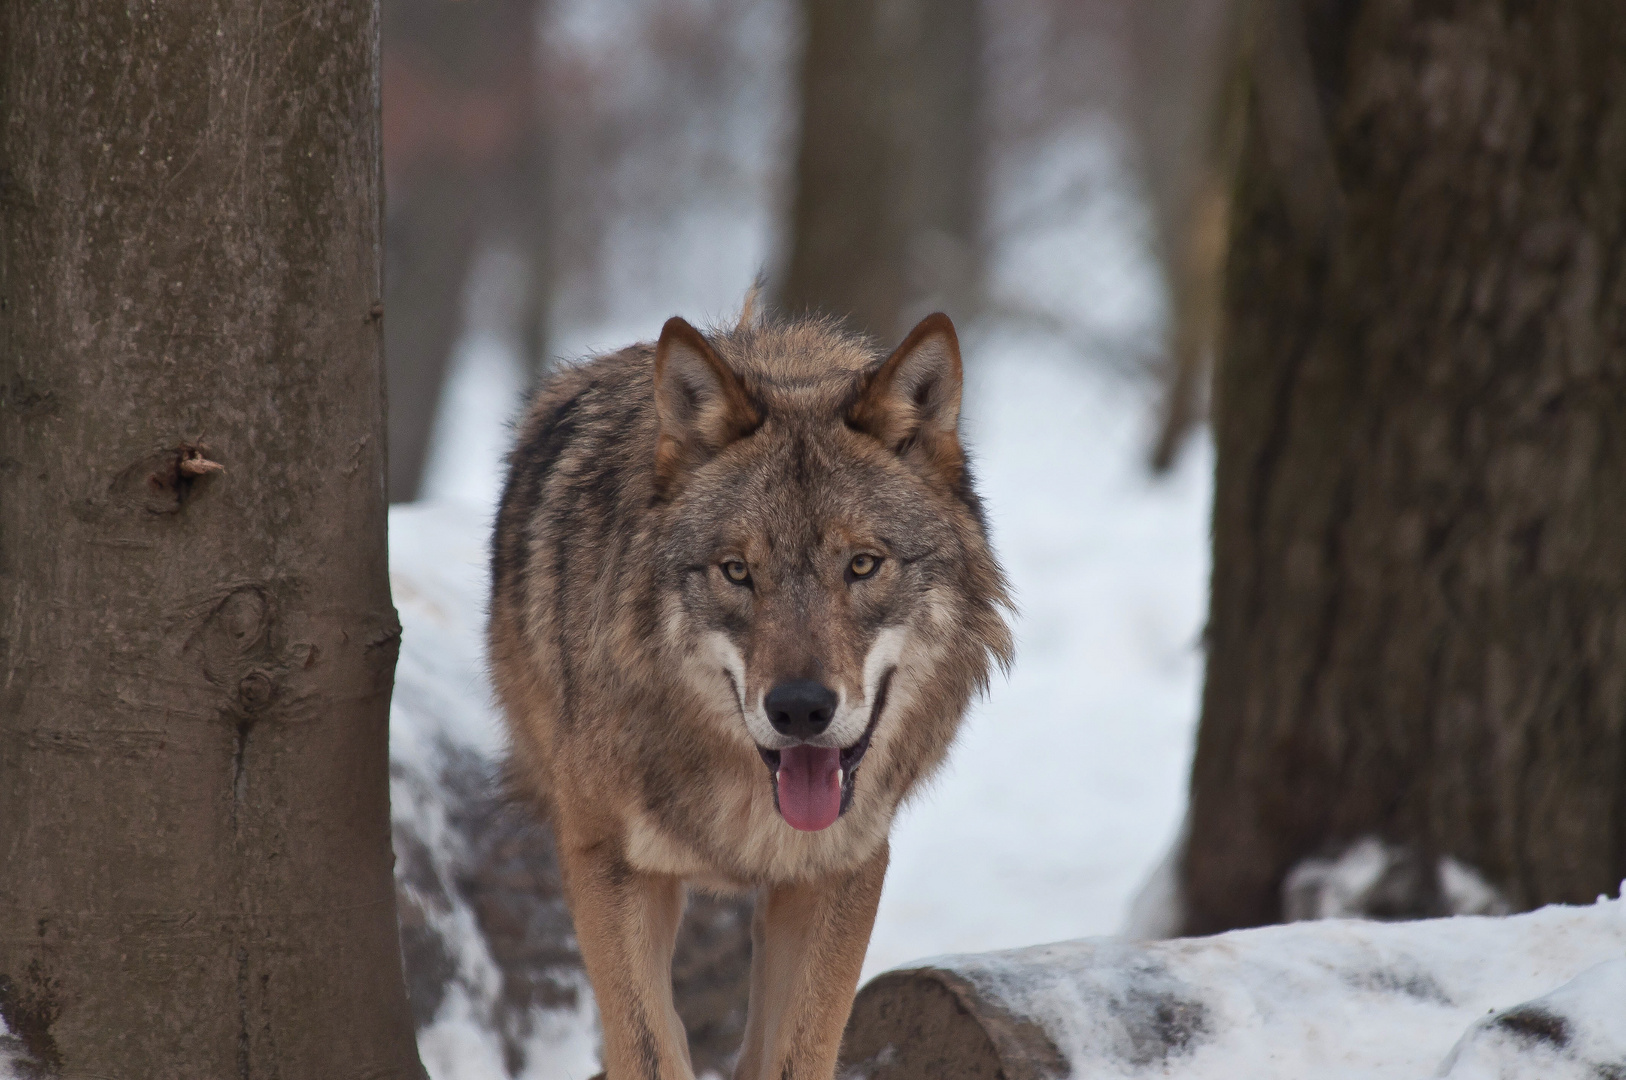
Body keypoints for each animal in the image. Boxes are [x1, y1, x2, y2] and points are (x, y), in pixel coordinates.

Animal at [487, 304, 1008, 1080]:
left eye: (863, 564)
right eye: (737, 571)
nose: (799, 709)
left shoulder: (844, 868)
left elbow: (798, 1054)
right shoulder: (607, 861)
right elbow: (649, 1047)